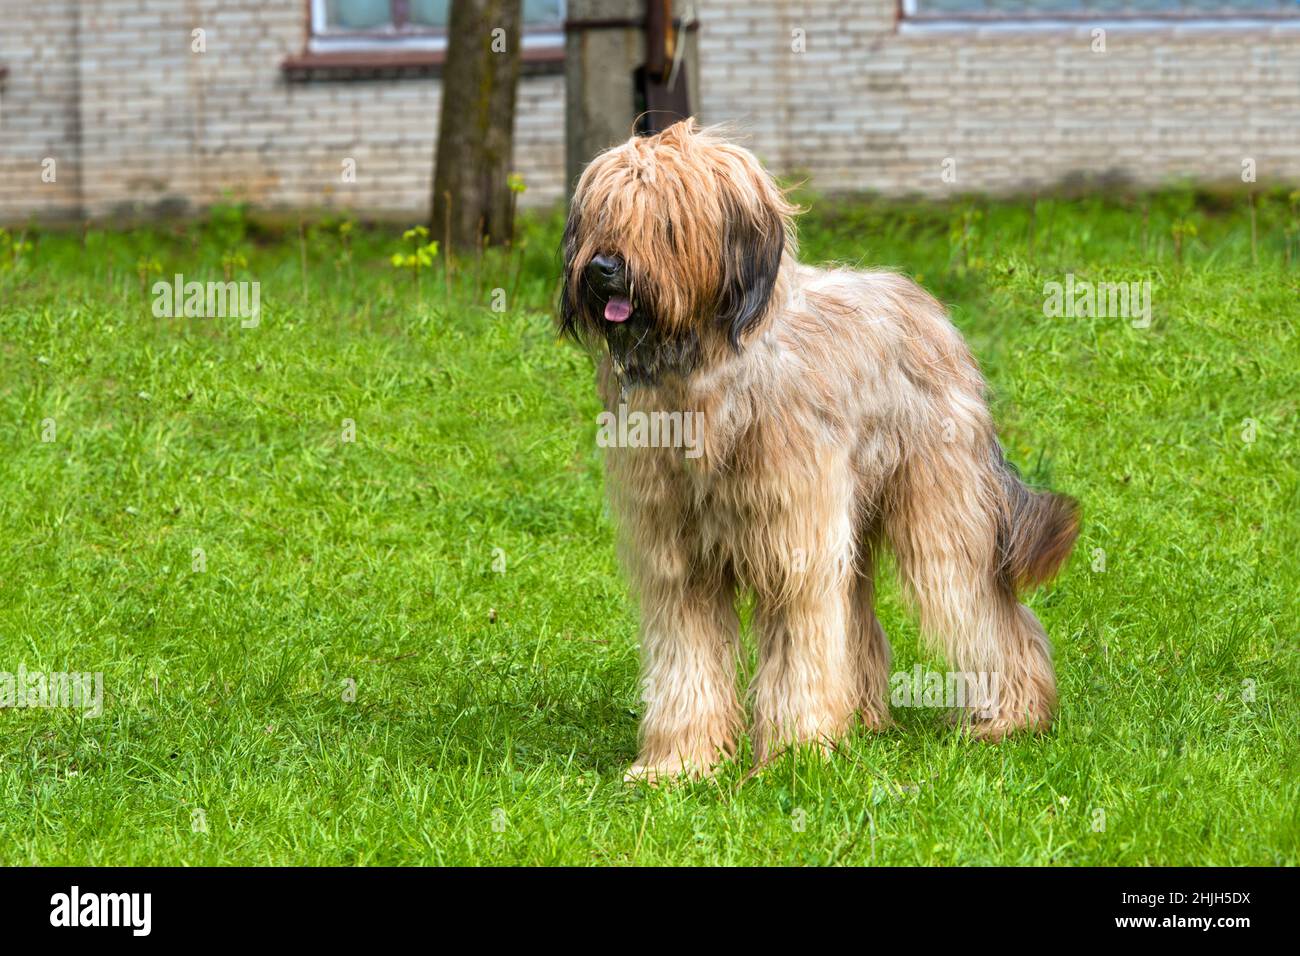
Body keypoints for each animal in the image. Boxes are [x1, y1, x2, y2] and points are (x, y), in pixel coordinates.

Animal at [559, 119, 1076, 780]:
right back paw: (864, 718)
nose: (602, 269)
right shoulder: (679, 561)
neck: (706, 376)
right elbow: (686, 660)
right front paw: (679, 762)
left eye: (665, 220)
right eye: (603, 213)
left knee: (985, 608)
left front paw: (795, 757)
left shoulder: (794, 544)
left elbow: (798, 649)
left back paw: (1014, 716)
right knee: (859, 614)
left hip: (939, 509)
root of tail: (932, 311)